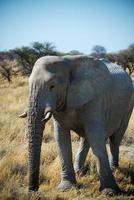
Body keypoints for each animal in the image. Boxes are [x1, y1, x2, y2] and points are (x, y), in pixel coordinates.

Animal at [21, 54, 134, 195]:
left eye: (52, 86)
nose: (33, 191)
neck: (67, 62)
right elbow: (61, 138)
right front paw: (66, 187)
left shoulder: (95, 99)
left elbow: (96, 137)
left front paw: (110, 192)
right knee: (86, 139)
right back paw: (79, 172)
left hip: (128, 107)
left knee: (115, 138)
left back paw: (114, 168)